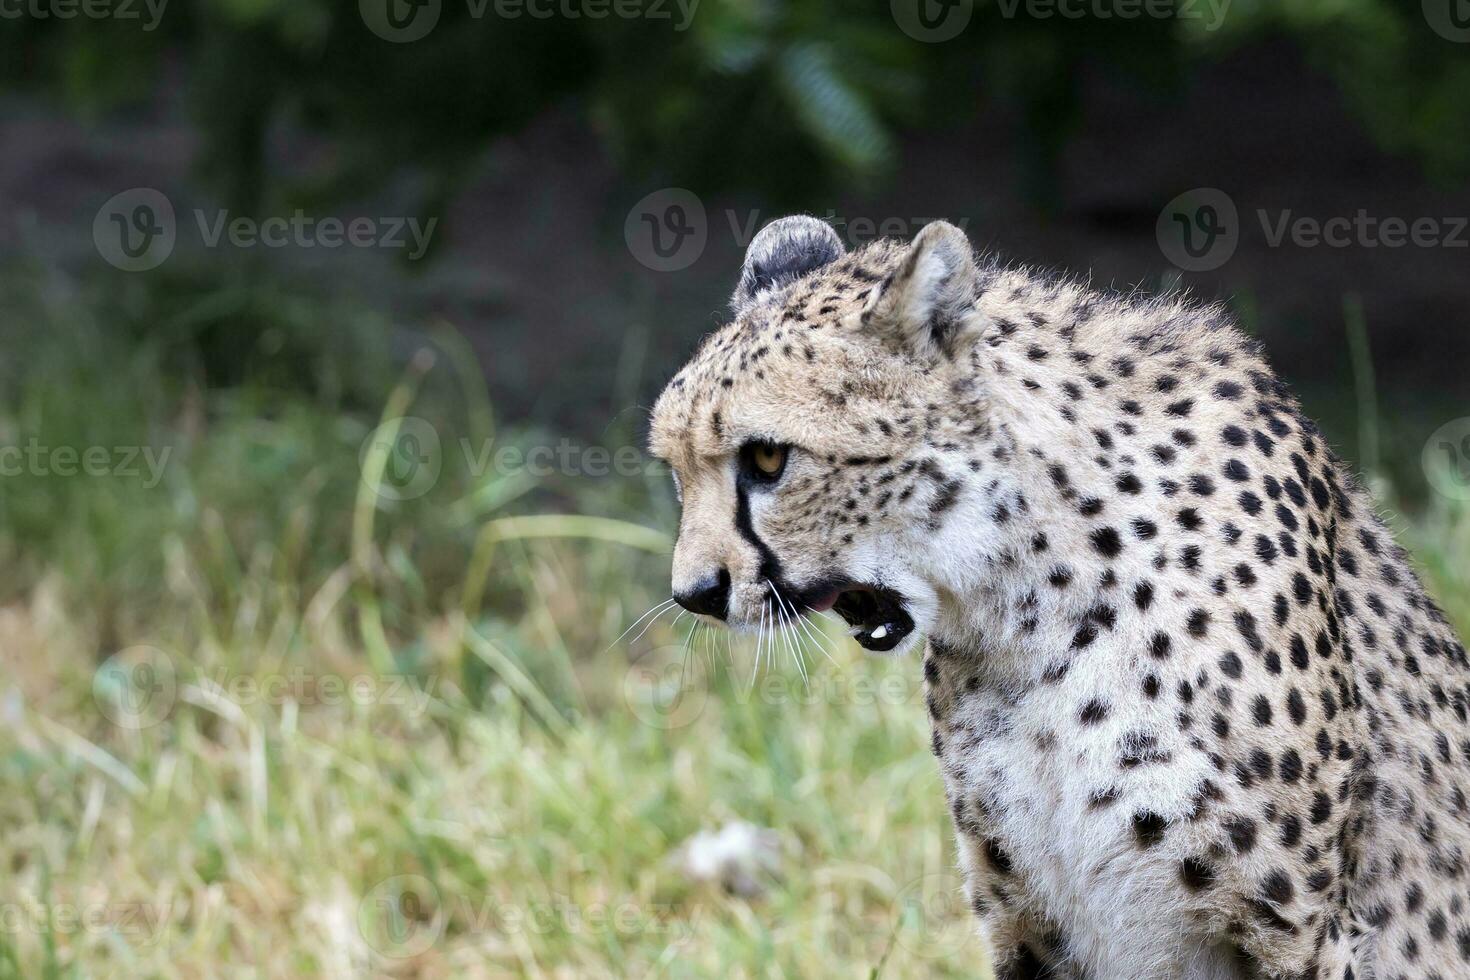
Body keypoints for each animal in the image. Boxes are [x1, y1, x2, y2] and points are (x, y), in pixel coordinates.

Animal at [649, 214, 1470, 980]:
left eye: (767, 457)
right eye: (675, 469)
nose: (694, 592)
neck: (1033, 603)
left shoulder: (1300, 931)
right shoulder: (1031, 920)